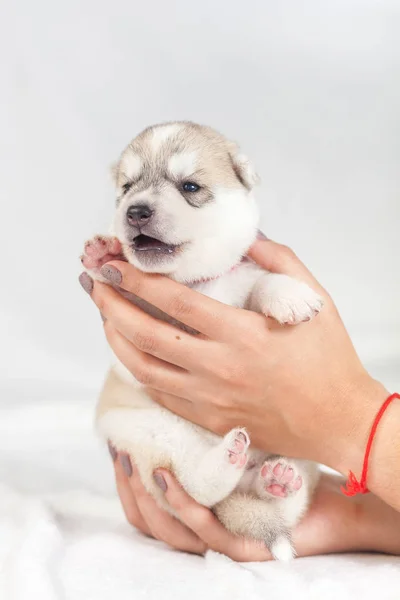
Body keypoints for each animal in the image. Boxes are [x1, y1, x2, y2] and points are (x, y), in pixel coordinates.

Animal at [81, 122, 322, 564]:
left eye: (190, 186)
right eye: (127, 187)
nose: (135, 211)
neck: (198, 282)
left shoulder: (244, 279)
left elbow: (264, 282)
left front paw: (292, 296)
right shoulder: (145, 309)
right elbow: (126, 285)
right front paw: (103, 252)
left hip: (301, 444)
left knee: (282, 504)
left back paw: (278, 480)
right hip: (149, 436)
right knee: (198, 488)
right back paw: (229, 460)